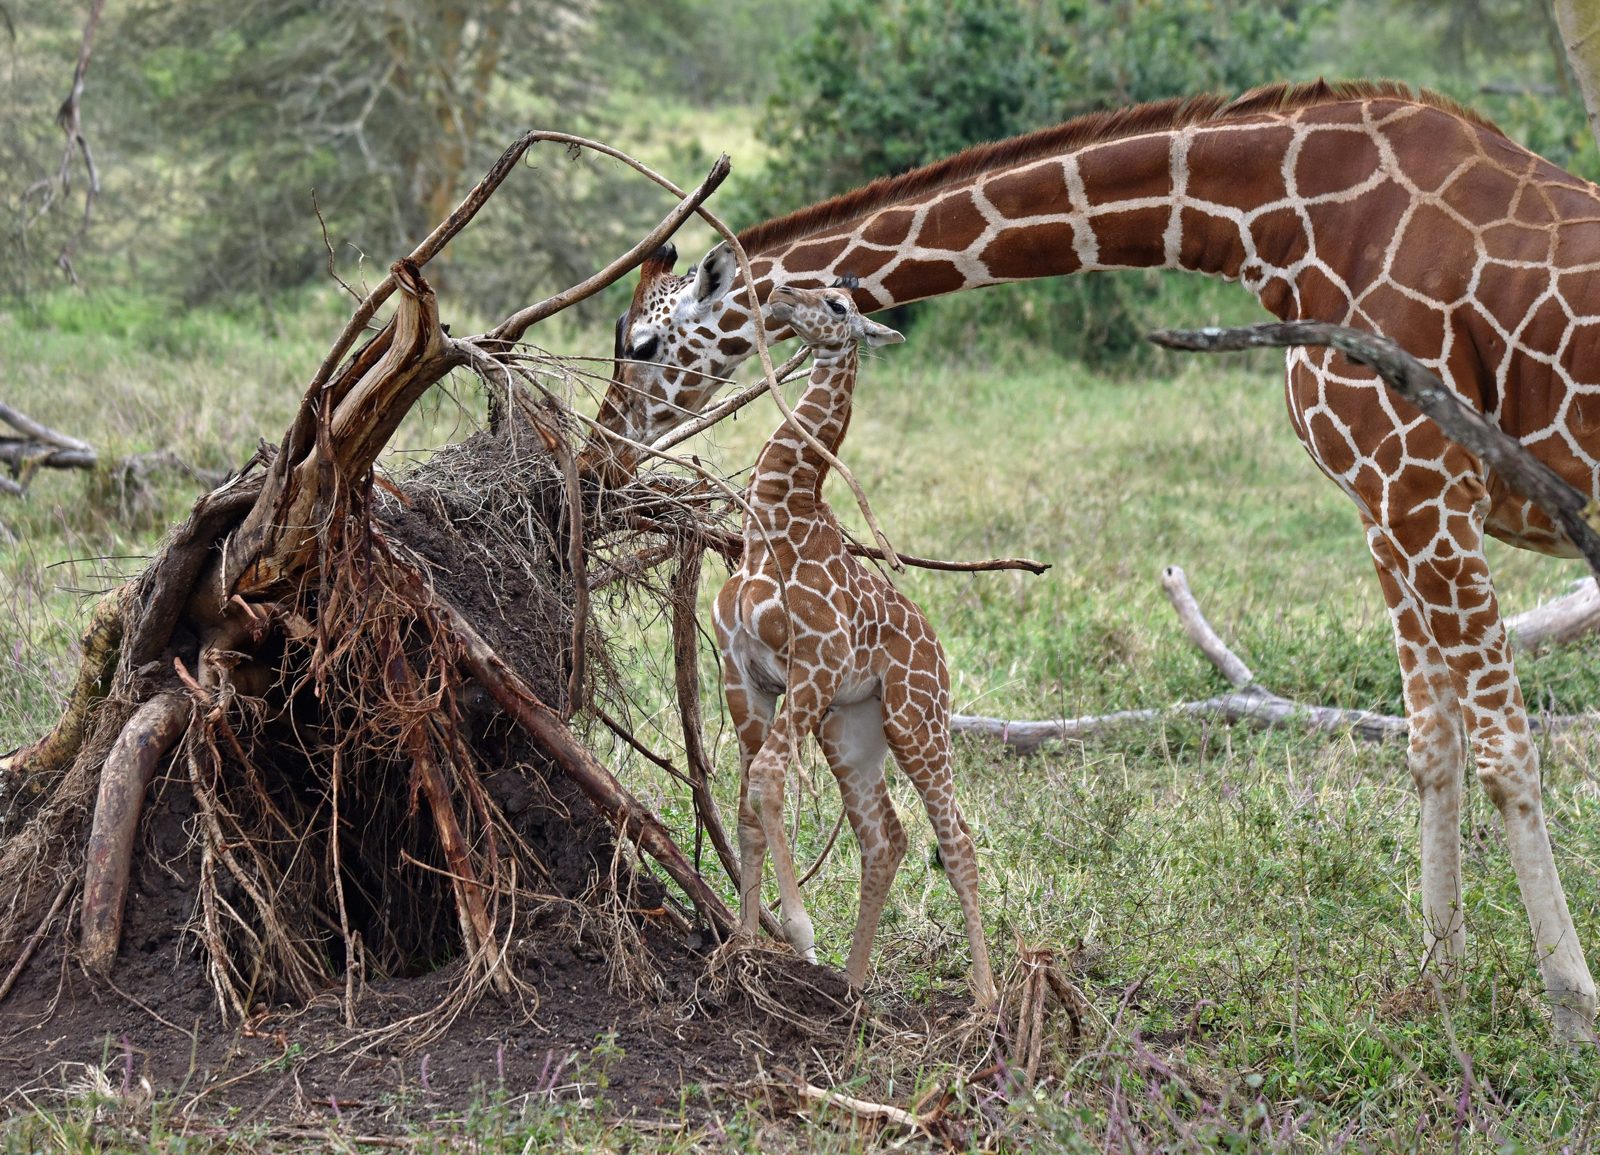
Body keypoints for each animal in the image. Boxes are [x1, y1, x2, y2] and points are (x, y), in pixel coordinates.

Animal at [716, 280, 997, 1007]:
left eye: (839, 305)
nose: (781, 295)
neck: (775, 521)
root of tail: (940, 656)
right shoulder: (740, 672)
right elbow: (746, 801)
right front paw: (741, 942)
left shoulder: (813, 664)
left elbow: (767, 776)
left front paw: (798, 929)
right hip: (853, 726)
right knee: (886, 836)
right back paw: (853, 981)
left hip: (916, 717)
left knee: (956, 835)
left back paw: (985, 998)